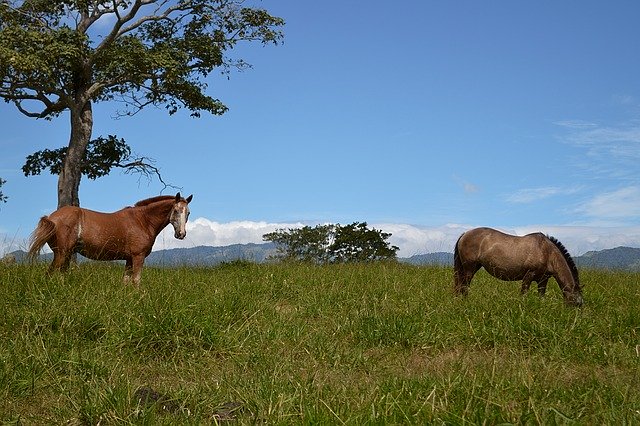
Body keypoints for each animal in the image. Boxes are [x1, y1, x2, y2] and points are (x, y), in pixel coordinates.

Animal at [28, 193, 192, 286]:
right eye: (176, 211)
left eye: (188, 213)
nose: (181, 234)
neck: (143, 221)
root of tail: (51, 218)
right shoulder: (138, 257)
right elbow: (136, 281)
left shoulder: (129, 259)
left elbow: (125, 281)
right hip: (61, 254)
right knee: (50, 274)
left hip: (66, 254)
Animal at [452, 226, 584, 306]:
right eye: (577, 304)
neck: (547, 252)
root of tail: (465, 234)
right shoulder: (529, 275)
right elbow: (523, 294)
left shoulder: (543, 279)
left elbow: (541, 297)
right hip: (469, 268)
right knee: (464, 286)